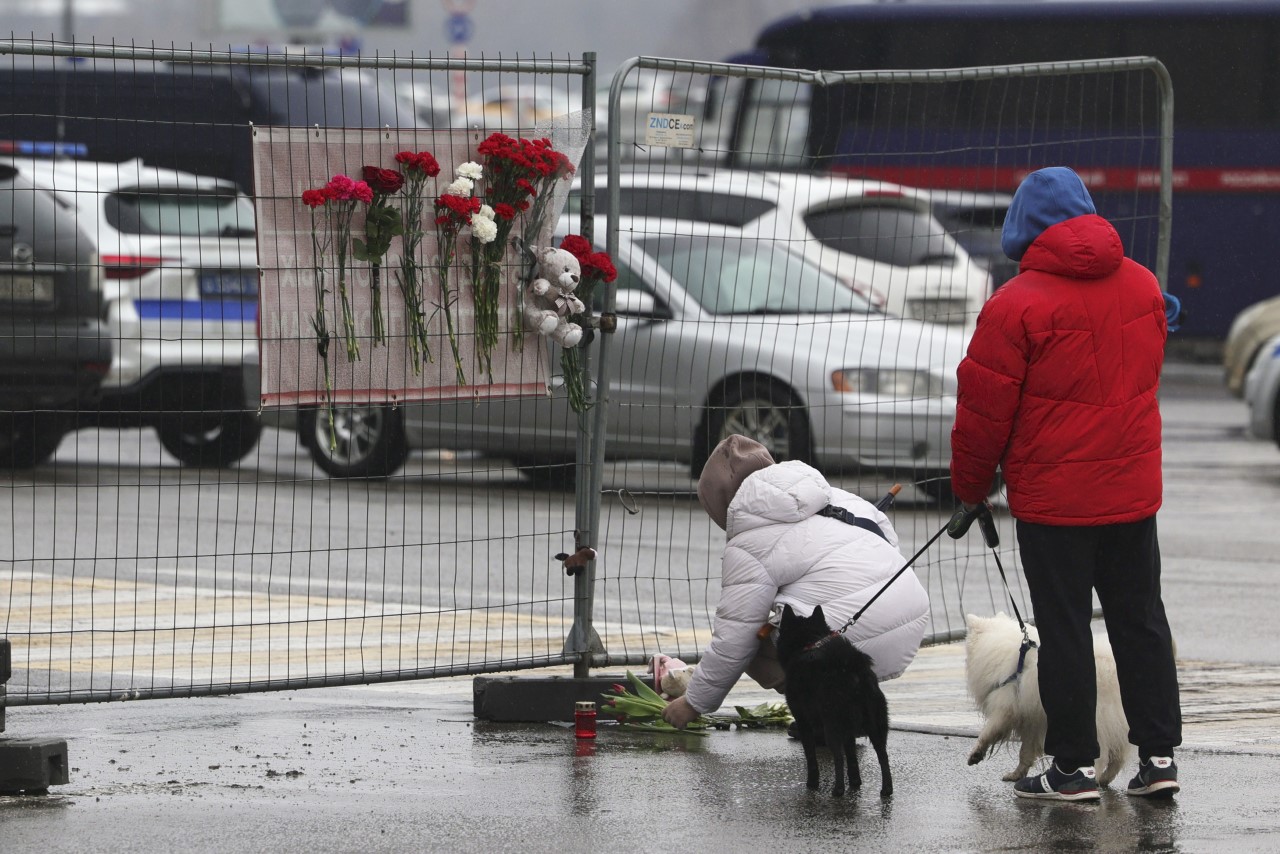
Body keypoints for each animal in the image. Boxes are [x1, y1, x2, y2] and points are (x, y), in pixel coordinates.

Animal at [773, 604, 896, 798]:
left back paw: (837, 790)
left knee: (837, 756)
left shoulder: (803, 721)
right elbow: (852, 757)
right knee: (882, 754)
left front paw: (812, 784)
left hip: (832, 724)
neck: (807, 644)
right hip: (876, 723)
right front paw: (855, 783)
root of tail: (853, 668)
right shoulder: (849, 731)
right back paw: (886, 790)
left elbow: (811, 756)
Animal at [962, 612, 1131, 783]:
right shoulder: (1031, 720)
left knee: (1100, 757)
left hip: (1095, 722)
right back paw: (1105, 779)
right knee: (1119, 757)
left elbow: (988, 731)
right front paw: (1017, 774)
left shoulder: (1006, 708)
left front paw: (975, 754)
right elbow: (1025, 752)